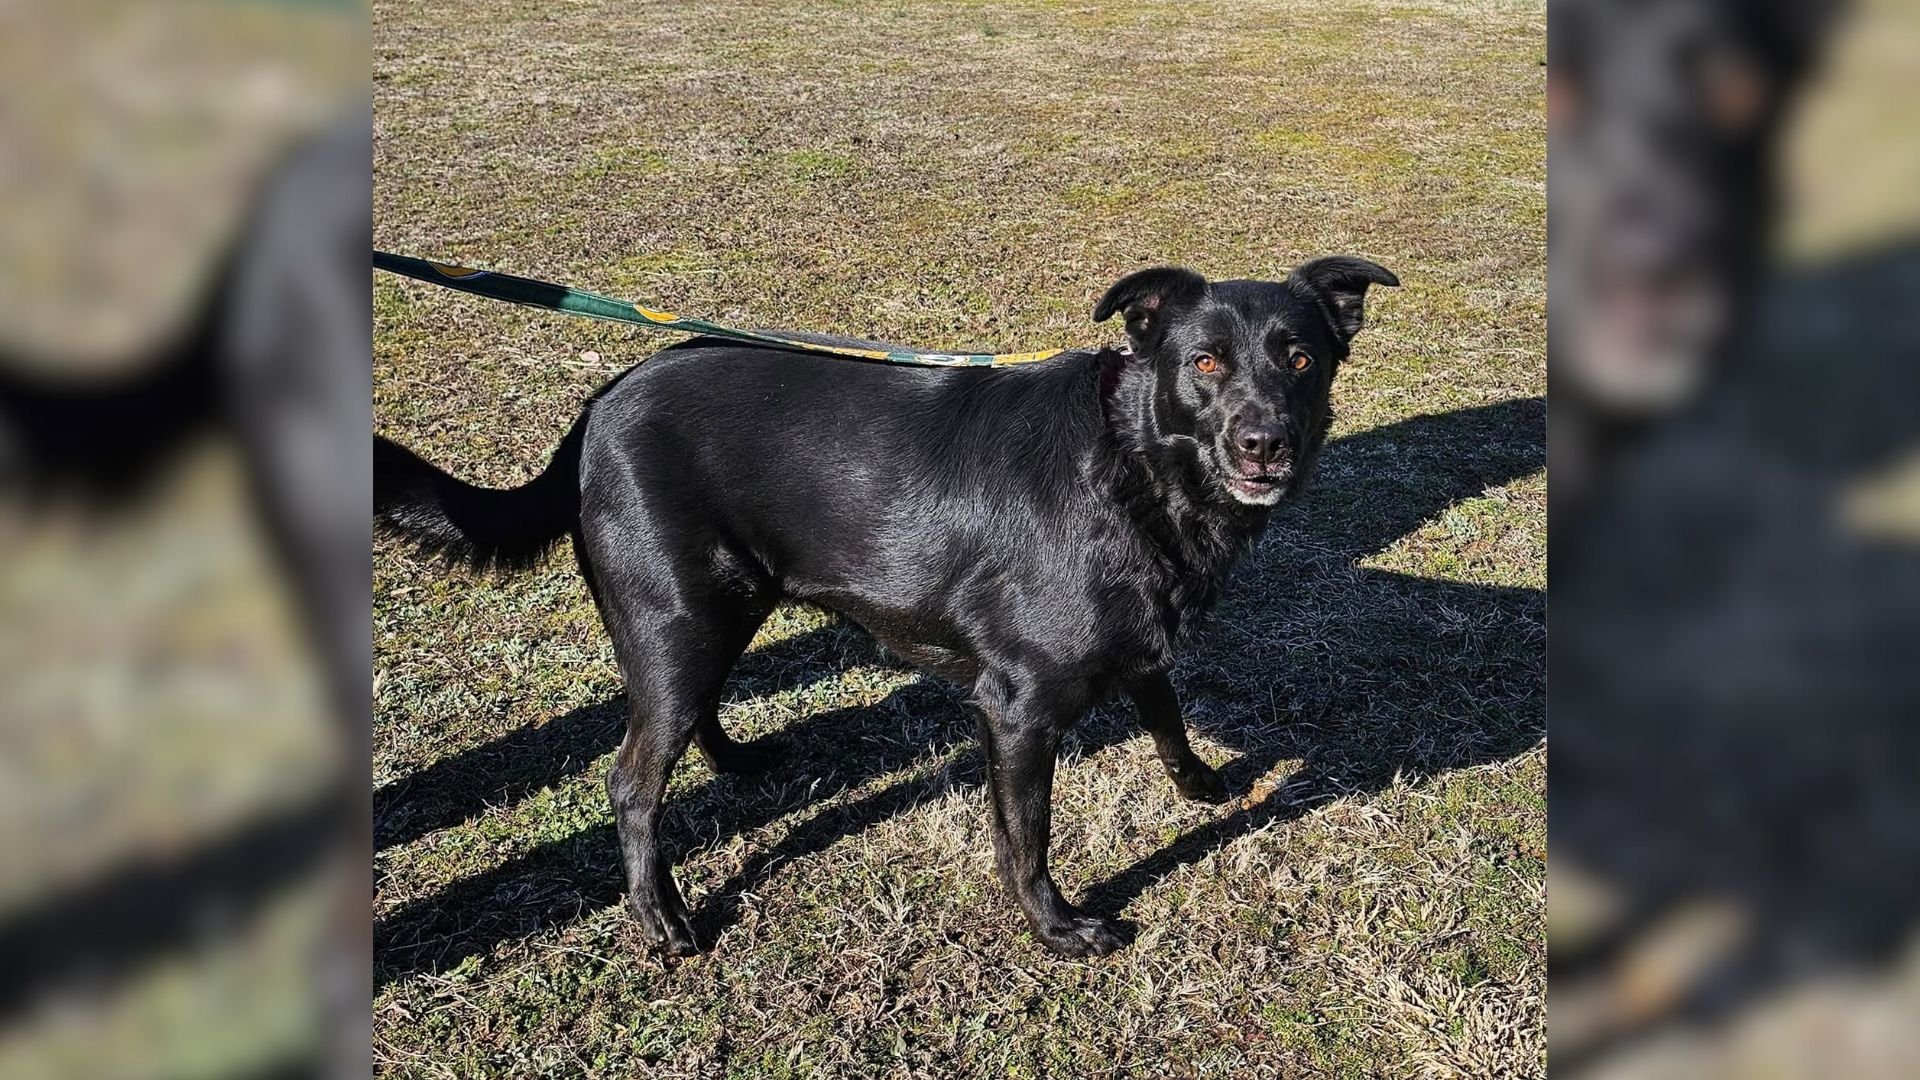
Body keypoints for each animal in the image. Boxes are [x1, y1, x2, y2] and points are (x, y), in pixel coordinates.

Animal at [378, 255, 1397, 953]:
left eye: (1301, 358)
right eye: (1207, 364)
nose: (1266, 443)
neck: (1134, 463)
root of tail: (596, 406)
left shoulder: (1139, 642)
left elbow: (1169, 717)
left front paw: (1203, 787)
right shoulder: (1017, 710)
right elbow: (1026, 838)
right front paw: (1056, 929)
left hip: (720, 610)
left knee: (693, 715)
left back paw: (740, 763)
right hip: (678, 620)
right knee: (632, 780)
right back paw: (660, 917)